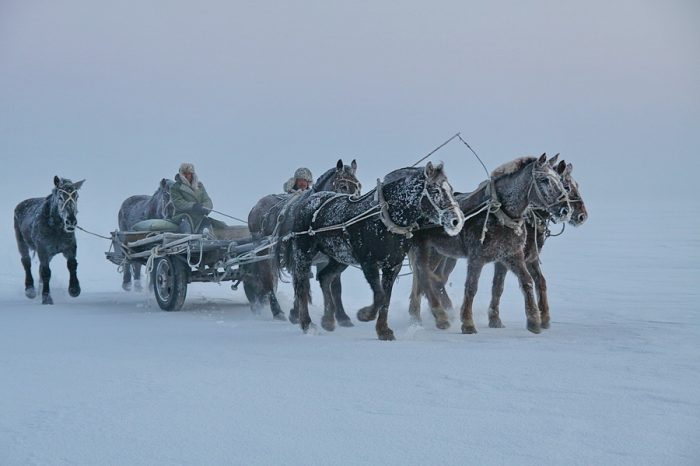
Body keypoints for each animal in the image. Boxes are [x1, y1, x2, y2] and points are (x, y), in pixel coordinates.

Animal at [242, 159, 360, 320]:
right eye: (343, 186)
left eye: (359, 186)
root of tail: (255, 208)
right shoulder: (299, 255)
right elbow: (301, 282)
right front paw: (296, 313)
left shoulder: (329, 258)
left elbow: (335, 286)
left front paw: (342, 316)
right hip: (263, 253)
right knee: (267, 279)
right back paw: (277, 310)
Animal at [284, 162, 464, 340]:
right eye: (436, 190)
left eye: (450, 189)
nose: (456, 220)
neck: (385, 218)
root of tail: (307, 200)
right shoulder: (369, 263)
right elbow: (380, 295)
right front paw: (365, 314)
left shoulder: (393, 265)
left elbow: (386, 299)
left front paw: (383, 330)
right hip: (303, 253)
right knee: (302, 285)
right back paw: (306, 323)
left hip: (340, 257)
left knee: (325, 277)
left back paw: (328, 320)